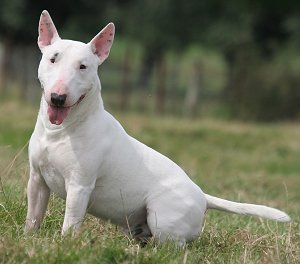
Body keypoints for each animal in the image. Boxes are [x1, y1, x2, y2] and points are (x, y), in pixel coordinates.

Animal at [26, 10, 290, 245]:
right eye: (52, 59)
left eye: (83, 66)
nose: (58, 97)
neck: (60, 131)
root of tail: (203, 196)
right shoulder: (37, 179)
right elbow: (33, 216)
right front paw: (28, 238)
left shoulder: (79, 187)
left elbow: (70, 223)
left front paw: (65, 244)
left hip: (162, 218)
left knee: (175, 245)